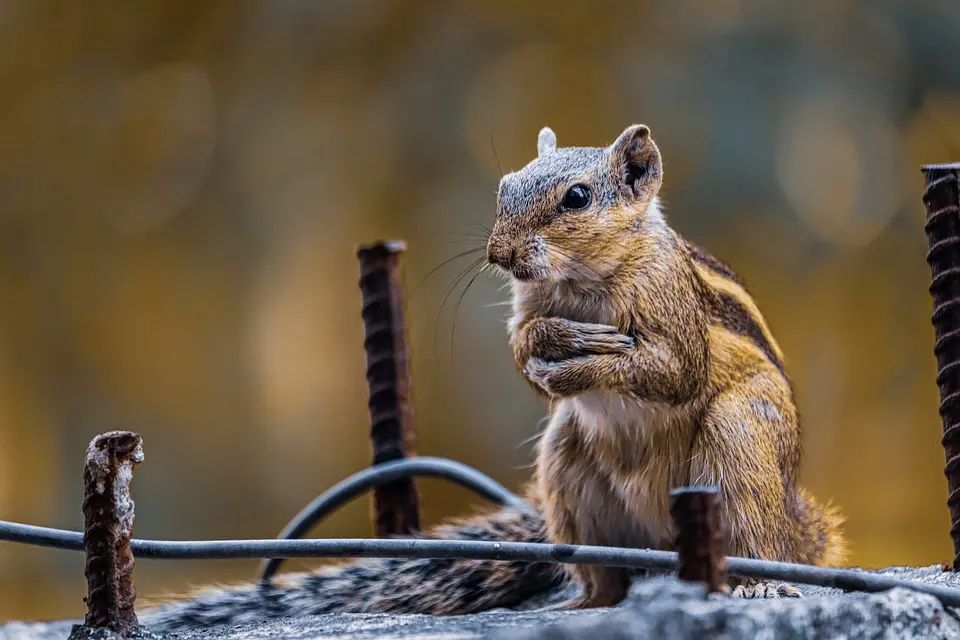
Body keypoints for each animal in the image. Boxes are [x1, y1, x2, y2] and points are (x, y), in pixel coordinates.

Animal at [139, 125, 844, 636]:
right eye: (504, 188)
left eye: (578, 197)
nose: (499, 254)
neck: (579, 282)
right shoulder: (526, 309)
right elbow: (523, 352)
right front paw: (554, 345)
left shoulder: (670, 308)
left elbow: (671, 371)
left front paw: (589, 356)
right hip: (567, 469)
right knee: (608, 579)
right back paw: (580, 605)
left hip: (739, 441)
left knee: (751, 531)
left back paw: (756, 579)